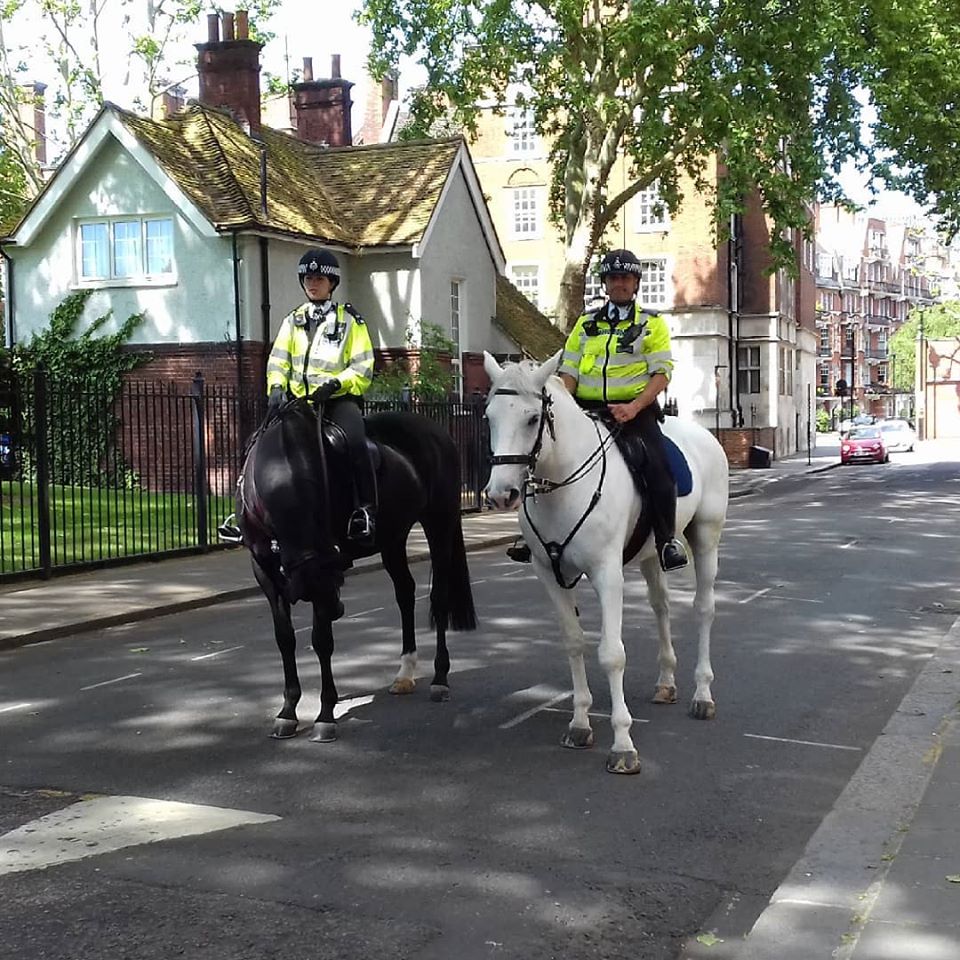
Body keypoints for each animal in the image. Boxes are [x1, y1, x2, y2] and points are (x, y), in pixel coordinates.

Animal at [237, 395, 477, 742]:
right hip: (393, 537)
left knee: (439, 597)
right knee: (405, 593)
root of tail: (437, 431)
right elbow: (285, 638)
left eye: (336, 583)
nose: (338, 608)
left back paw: (439, 679)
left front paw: (325, 714)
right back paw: (405, 673)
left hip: (440, 523)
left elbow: (321, 640)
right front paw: (288, 711)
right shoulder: (265, 569)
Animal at [482, 351, 728, 775]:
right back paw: (667, 682)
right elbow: (574, 642)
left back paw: (702, 693)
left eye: (532, 418)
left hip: (706, 536)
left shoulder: (607, 574)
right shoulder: (549, 574)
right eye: (489, 417)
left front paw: (623, 744)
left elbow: (612, 655)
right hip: (651, 553)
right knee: (661, 606)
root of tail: (704, 435)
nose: (501, 495)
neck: (563, 484)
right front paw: (580, 723)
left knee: (704, 609)